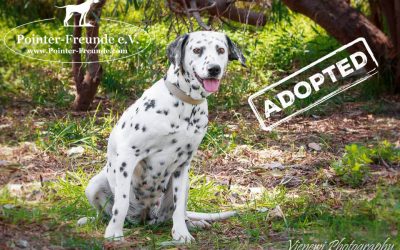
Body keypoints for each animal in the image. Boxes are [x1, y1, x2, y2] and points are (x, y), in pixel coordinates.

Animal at [85, 30, 244, 243]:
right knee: (108, 212)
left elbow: (178, 208)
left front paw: (182, 234)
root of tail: (145, 216)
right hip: (94, 185)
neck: (186, 105)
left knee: (174, 214)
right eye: (197, 50)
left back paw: (191, 223)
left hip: (184, 184)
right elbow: (121, 202)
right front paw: (114, 232)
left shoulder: (182, 165)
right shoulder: (128, 156)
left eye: (220, 50)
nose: (214, 69)